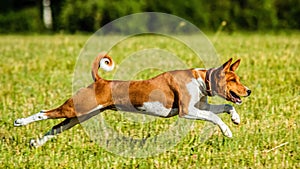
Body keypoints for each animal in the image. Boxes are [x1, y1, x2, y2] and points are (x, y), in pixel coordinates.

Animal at [14, 53, 250, 147]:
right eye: (233, 80)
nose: (248, 90)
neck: (201, 80)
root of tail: (100, 81)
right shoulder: (187, 111)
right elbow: (213, 117)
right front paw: (227, 131)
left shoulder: (201, 106)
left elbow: (226, 106)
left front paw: (236, 119)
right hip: (75, 109)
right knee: (44, 113)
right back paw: (20, 122)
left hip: (80, 115)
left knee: (55, 128)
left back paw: (36, 143)